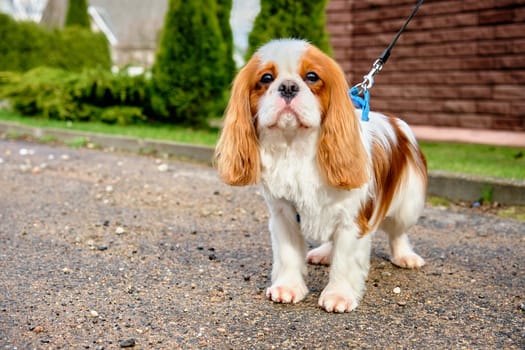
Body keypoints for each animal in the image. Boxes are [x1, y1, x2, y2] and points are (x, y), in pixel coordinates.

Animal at [213, 38, 426, 312]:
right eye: (266, 78)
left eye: (312, 77)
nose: (288, 87)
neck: (296, 147)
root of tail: (396, 122)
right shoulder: (283, 215)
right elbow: (288, 254)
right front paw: (288, 287)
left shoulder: (352, 219)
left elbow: (345, 259)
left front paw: (339, 295)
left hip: (407, 203)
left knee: (398, 231)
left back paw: (404, 256)